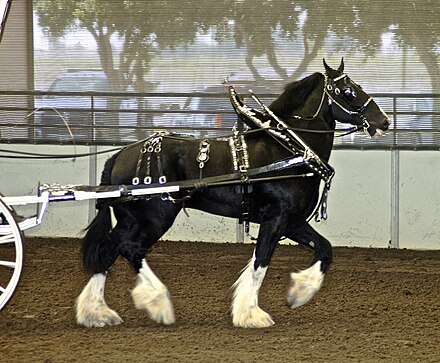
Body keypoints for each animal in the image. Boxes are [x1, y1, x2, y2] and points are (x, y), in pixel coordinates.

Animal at [75, 60, 388, 330]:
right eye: (348, 91)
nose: (383, 121)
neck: (288, 149)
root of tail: (119, 156)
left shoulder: (293, 222)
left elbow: (324, 249)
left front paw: (299, 292)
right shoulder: (275, 220)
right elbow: (261, 261)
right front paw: (250, 314)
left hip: (132, 218)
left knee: (108, 249)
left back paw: (96, 312)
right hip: (155, 217)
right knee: (130, 249)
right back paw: (157, 303)